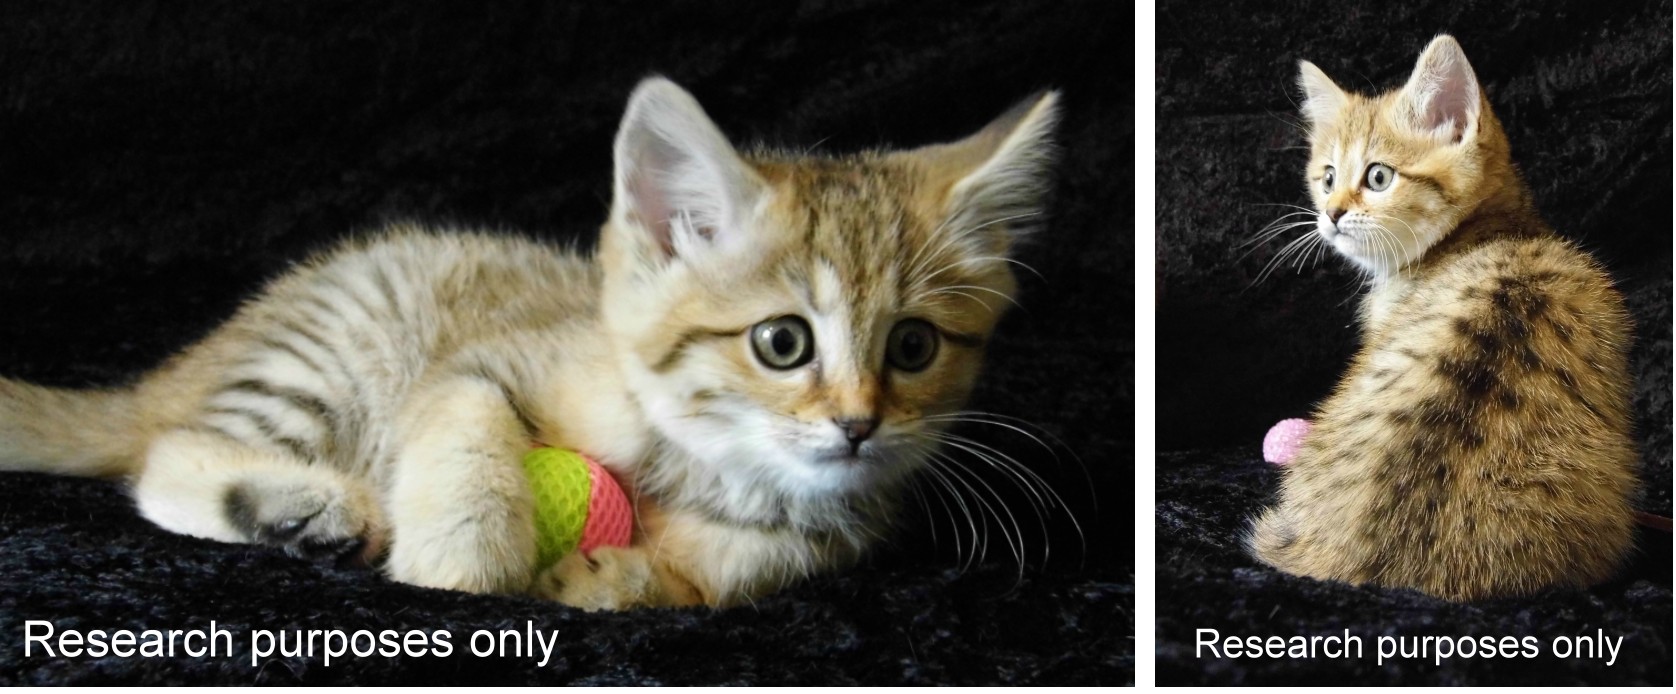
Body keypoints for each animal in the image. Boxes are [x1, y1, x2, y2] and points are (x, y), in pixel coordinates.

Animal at [0, 74, 1059, 606]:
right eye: (783, 343)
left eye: (913, 348)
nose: (858, 427)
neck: (713, 464)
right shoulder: (487, 361)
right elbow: (468, 412)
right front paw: (463, 559)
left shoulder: (820, 539)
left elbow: (726, 574)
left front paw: (617, 576)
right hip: (334, 348)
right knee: (165, 455)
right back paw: (303, 506)